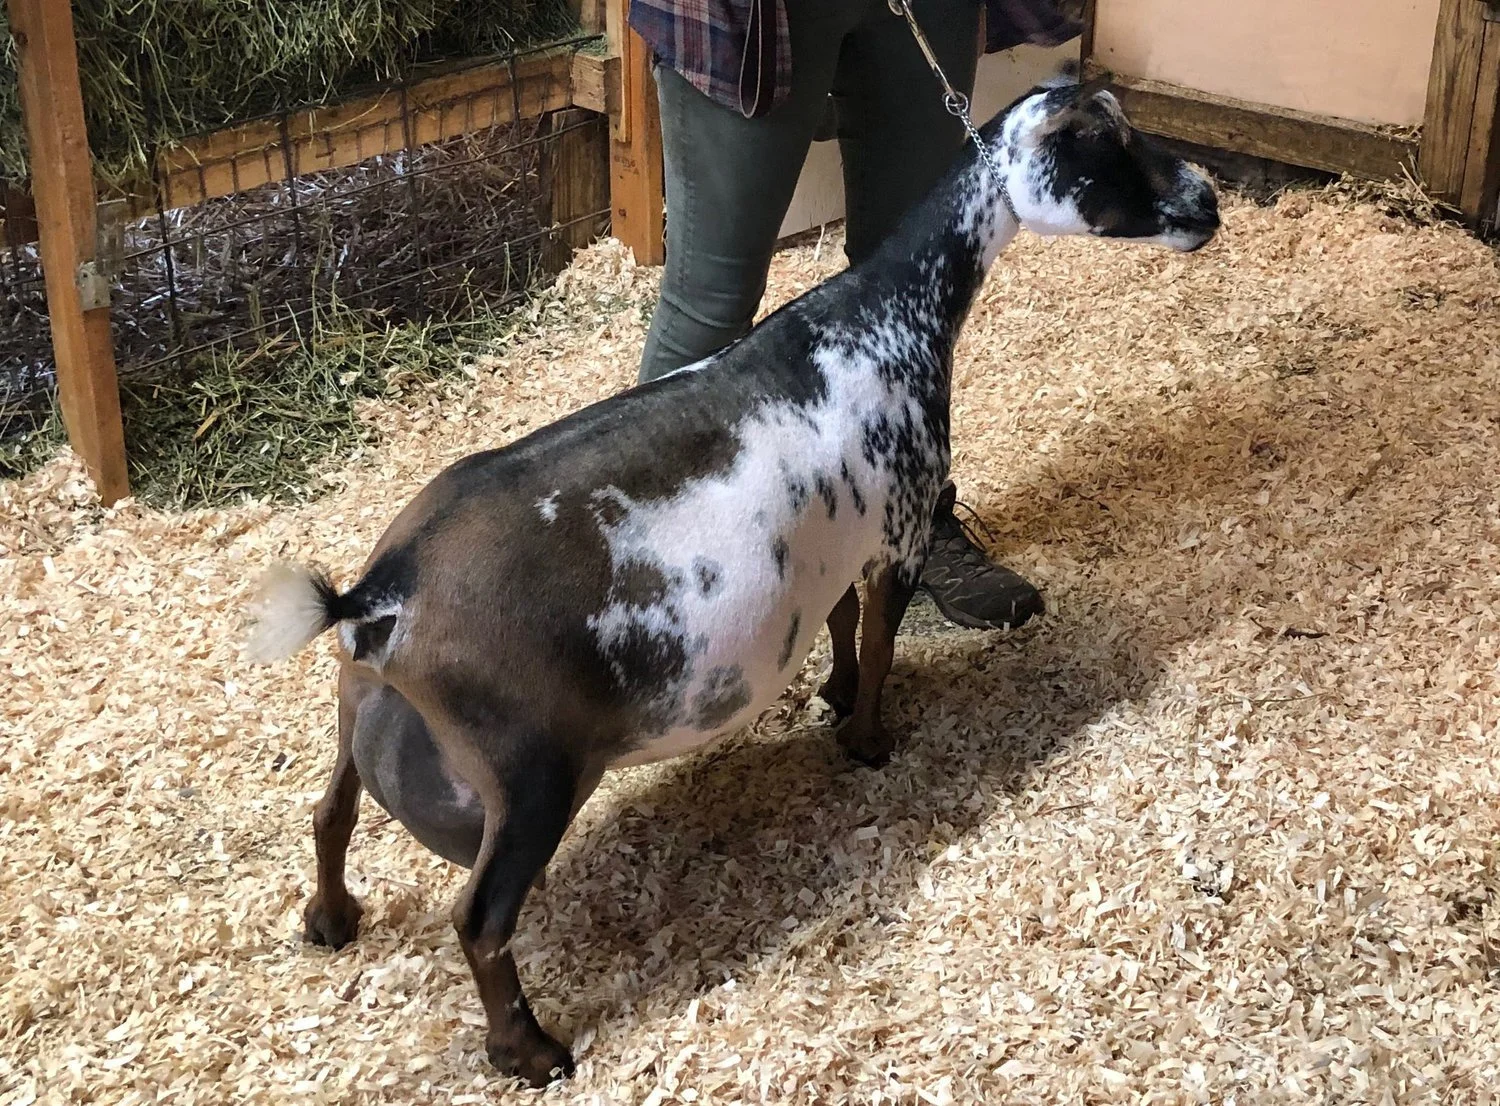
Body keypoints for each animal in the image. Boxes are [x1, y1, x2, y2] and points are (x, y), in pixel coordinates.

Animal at [246, 75, 1219, 1086]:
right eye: (1104, 145)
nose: (1208, 202)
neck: (876, 324)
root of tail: (382, 594)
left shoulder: (835, 542)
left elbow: (838, 626)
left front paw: (833, 697)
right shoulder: (900, 530)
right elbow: (879, 643)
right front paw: (868, 738)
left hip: (360, 705)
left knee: (328, 814)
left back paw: (330, 921)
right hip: (528, 773)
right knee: (478, 916)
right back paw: (532, 1051)